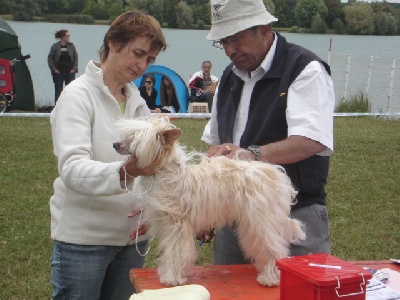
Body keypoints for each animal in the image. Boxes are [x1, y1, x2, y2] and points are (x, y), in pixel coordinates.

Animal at [113, 116, 306, 286]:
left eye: (134, 137)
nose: (115, 144)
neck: (165, 174)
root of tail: (275, 175)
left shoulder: (178, 225)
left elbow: (177, 252)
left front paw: (172, 278)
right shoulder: (169, 226)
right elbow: (171, 251)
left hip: (260, 220)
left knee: (274, 248)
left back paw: (270, 278)